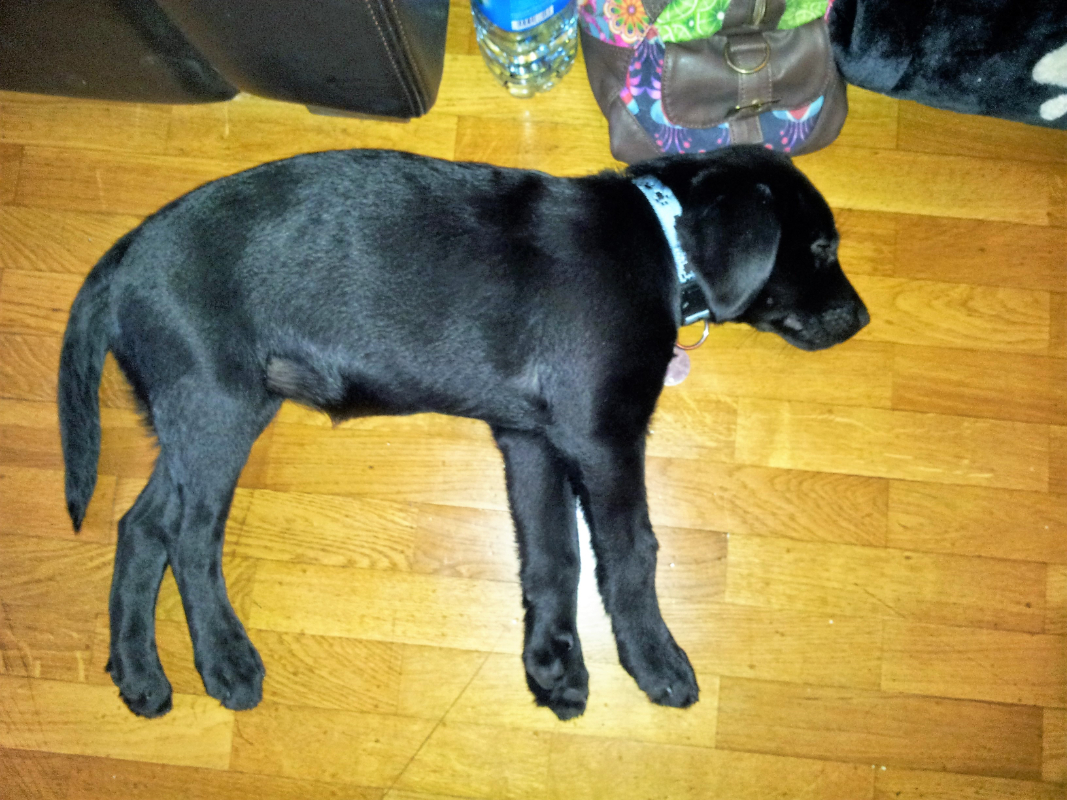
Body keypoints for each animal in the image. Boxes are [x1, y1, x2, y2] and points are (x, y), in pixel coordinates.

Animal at [58, 146, 868, 721]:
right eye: (821, 250)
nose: (862, 320)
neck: (662, 238)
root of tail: (125, 253)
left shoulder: (530, 440)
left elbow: (553, 556)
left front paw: (552, 664)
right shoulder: (602, 435)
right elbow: (630, 553)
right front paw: (653, 658)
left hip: (211, 407)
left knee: (142, 524)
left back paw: (138, 672)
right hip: (218, 404)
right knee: (189, 537)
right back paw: (225, 660)